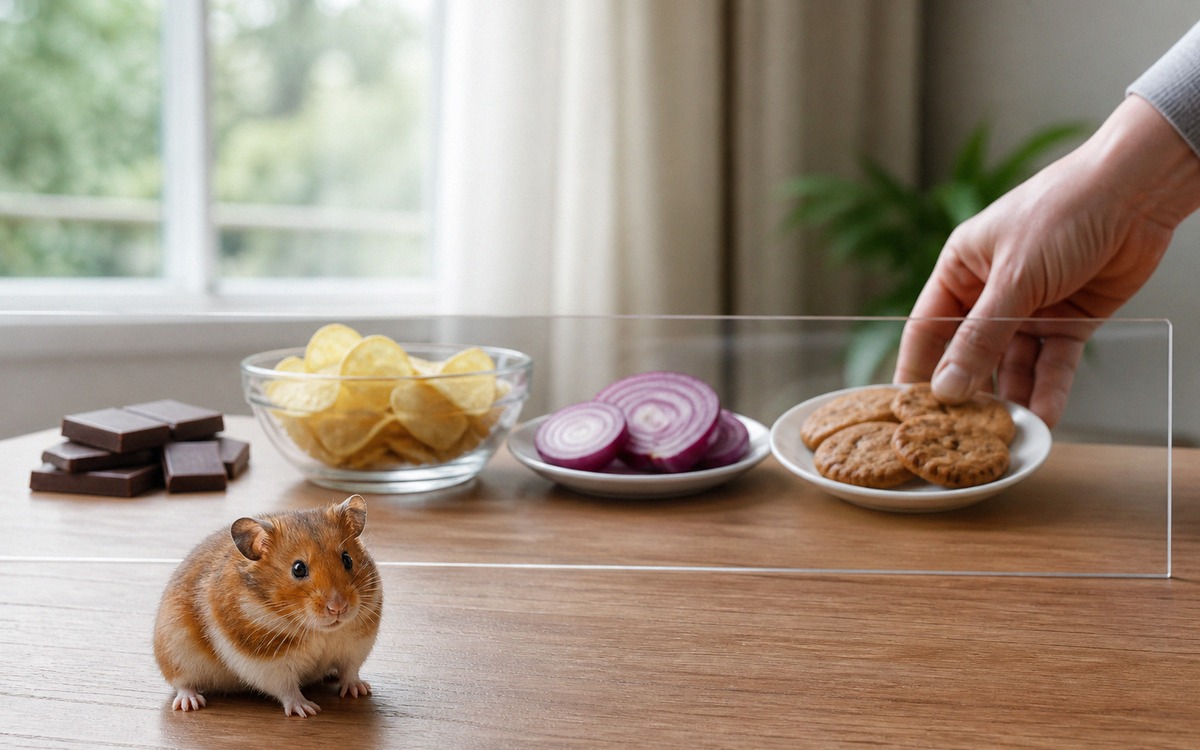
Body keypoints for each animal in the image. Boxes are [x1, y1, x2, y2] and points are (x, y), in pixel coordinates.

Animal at [153, 494, 383, 717]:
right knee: (183, 684)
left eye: (347, 559)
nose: (338, 608)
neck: (318, 631)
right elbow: (287, 688)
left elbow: (350, 670)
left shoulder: (356, 645)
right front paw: (307, 710)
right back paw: (190, 703)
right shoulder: (269, 664)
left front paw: (360, 690)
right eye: (298, 569)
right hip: (176, 654)